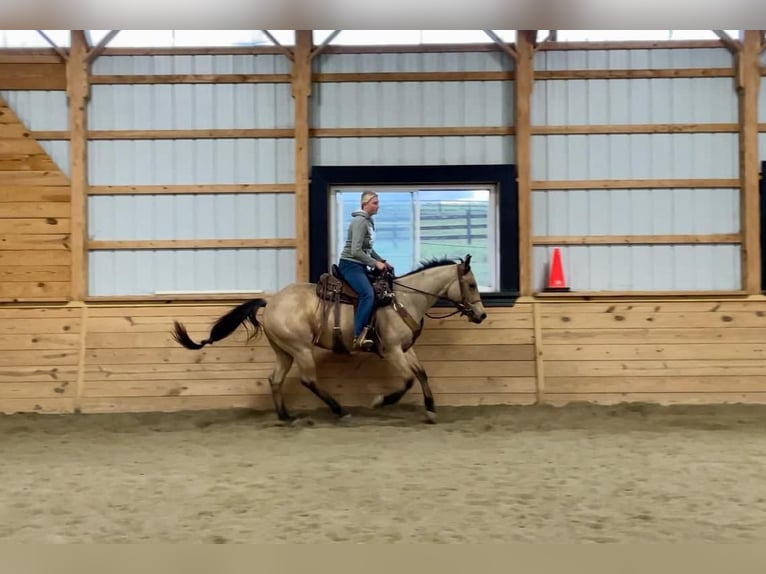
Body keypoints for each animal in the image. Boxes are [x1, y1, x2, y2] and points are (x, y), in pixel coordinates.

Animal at [172, 256, 486, 424]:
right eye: (471, 284)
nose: (481, 315)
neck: (405, 298)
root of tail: (271, 301)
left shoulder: (406, 349)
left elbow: (421, 374)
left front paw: (431, 410)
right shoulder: (392, 350)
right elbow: (408, 379)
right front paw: (380, 401)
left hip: (283, 351)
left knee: (275, 379)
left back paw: (286, 417)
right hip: (300, 348)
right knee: (308, 380)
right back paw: (339, 410)